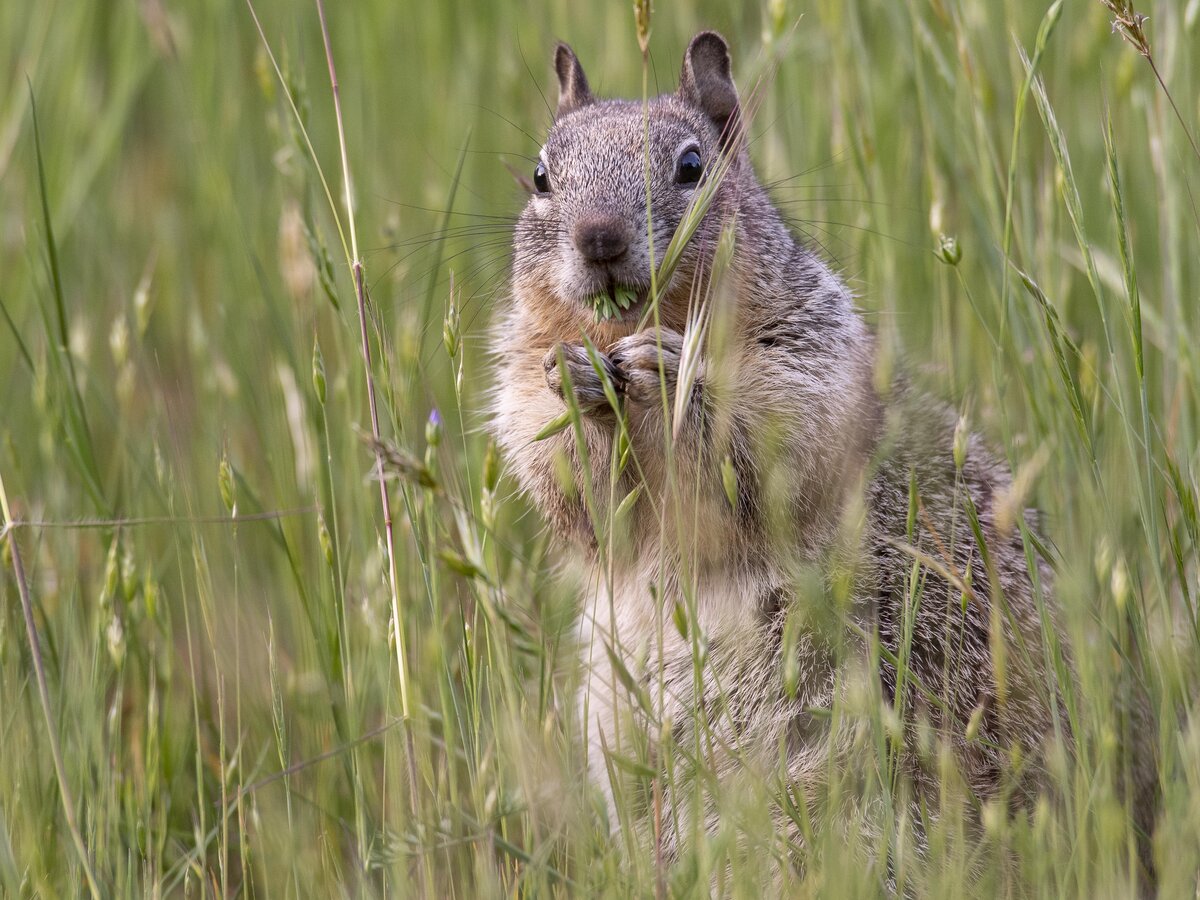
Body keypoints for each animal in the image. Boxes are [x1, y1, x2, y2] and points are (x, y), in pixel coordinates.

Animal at [489, 31, 1152, 878]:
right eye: (542, 176)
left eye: (692, 164)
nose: (599, 237)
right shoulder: (521, 398)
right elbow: (578, 493)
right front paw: (579, 386)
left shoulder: (811, 366)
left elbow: (764, 454)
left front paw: (672, 376)